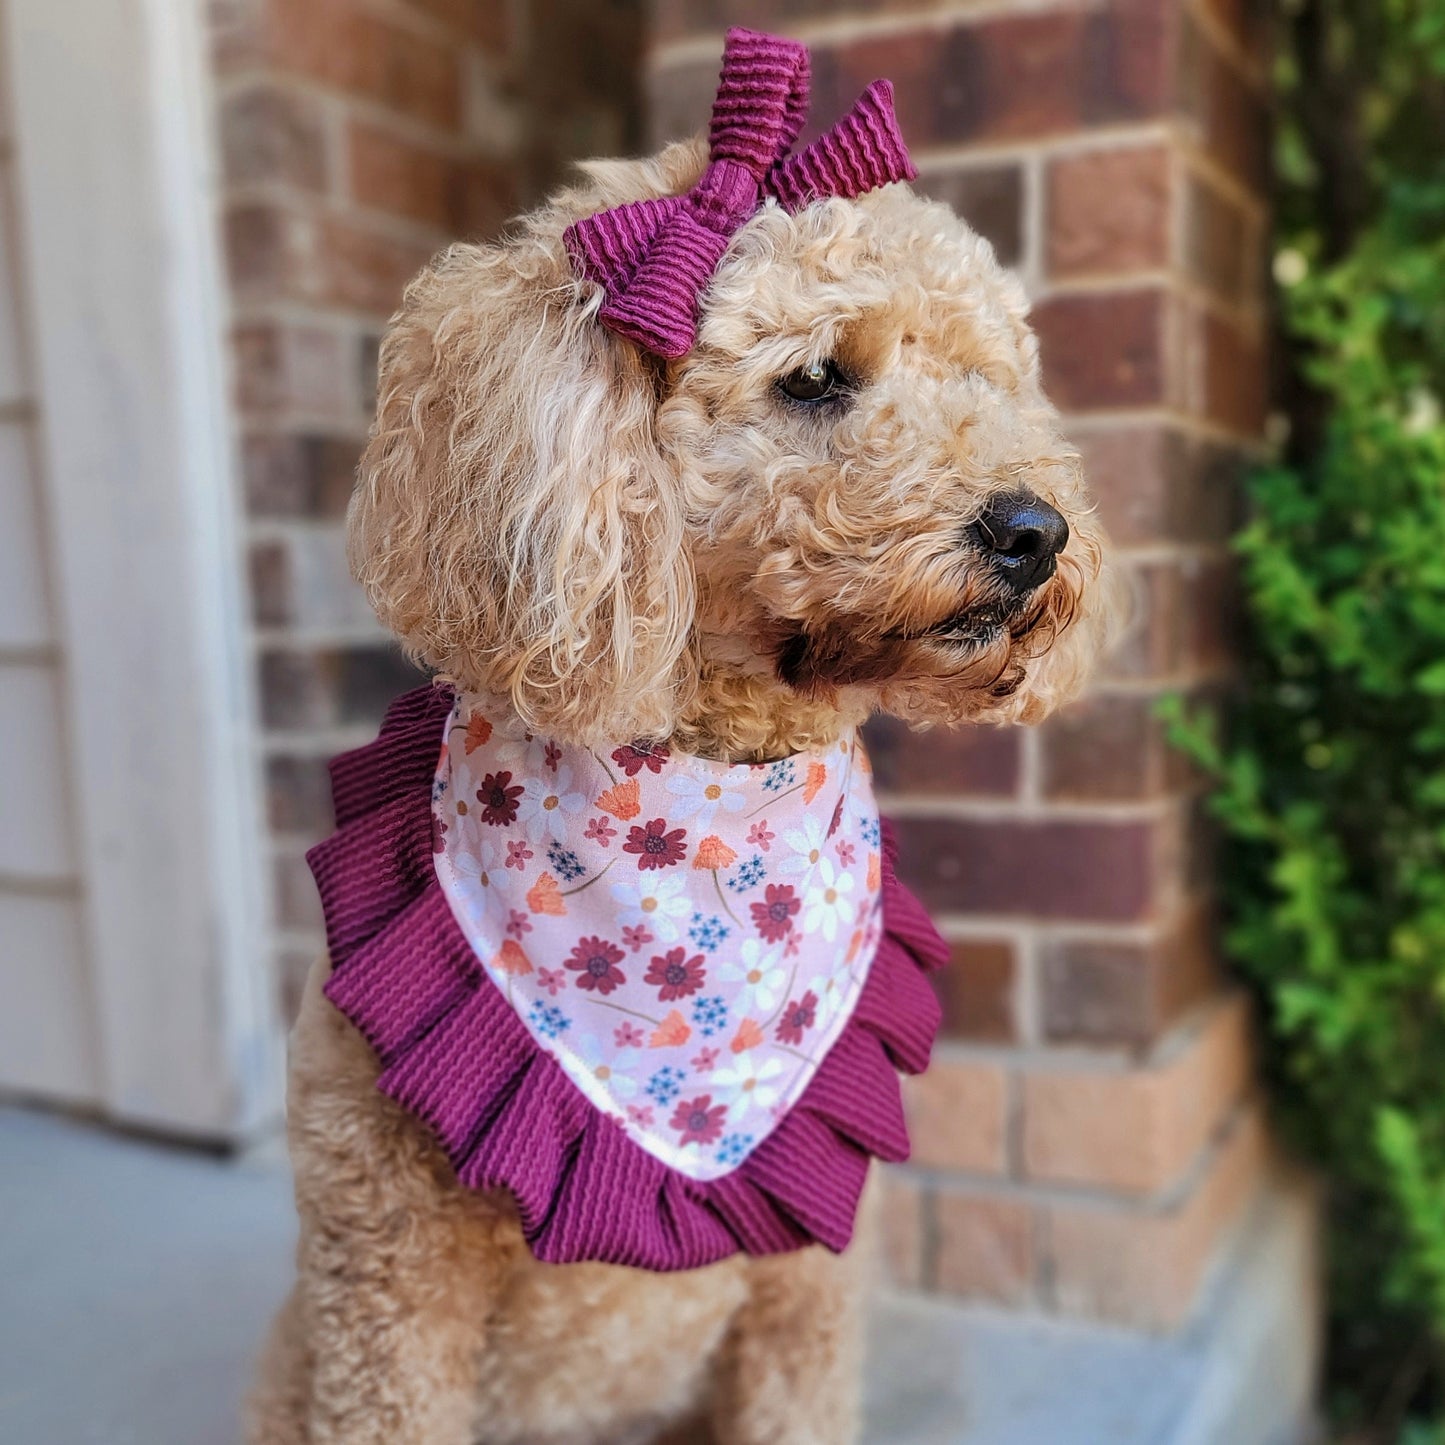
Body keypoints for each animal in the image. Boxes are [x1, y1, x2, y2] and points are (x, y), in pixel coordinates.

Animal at [248, 22, 1109, 1445]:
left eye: (987, 383)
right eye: (816, 378)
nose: (1033, 529)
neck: (712, 788)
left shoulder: (804, 1290)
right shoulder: (389, 1279)